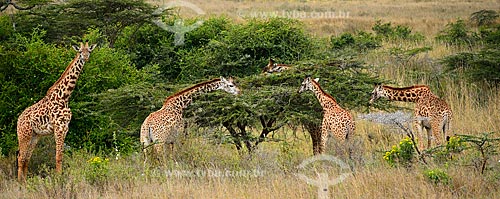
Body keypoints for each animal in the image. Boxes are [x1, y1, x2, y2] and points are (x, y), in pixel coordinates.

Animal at [16, 41, 96, 181]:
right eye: (80, 51)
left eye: (89, 51)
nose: (85, 58)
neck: (64, 97)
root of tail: (18, 120)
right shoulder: (58, 127)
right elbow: (58, 156)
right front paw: (59, 179)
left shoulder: (65, 128)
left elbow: (61, 156)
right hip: (24, 135)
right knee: (21, 158)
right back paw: (20, 182)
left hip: (34, 136)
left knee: (26, 158)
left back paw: (25, 182)